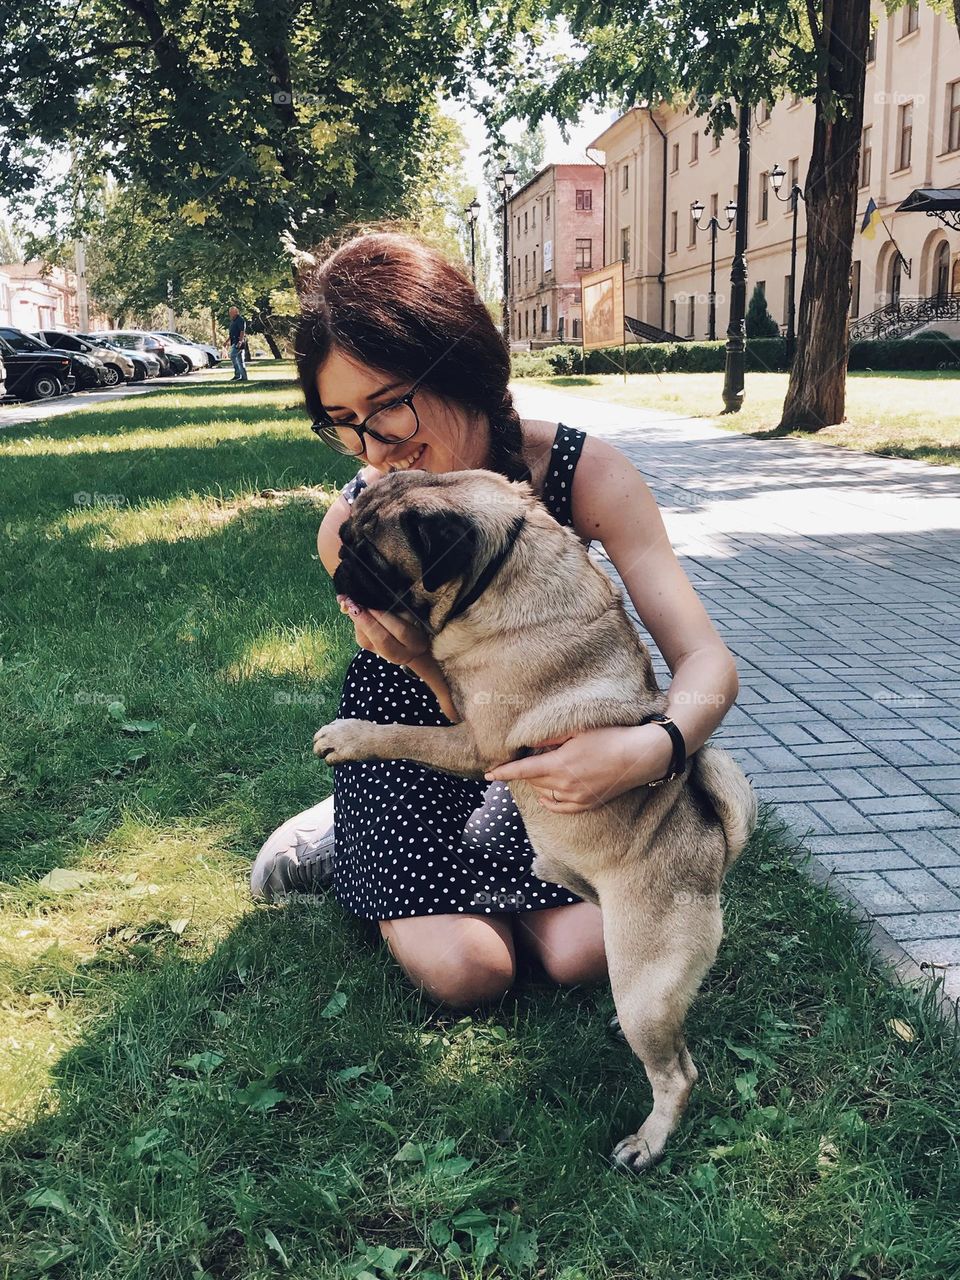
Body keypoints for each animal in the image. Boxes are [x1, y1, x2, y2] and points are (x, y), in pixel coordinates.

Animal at [316, 468, 757, 1172]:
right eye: (349, 539)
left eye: (373, 558)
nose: (339, 561)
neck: (501, 564)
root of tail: (715, 849)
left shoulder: (475, 742)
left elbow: (402, 733)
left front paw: (349, 735)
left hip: (643, 974)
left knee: (678, 1073)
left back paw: (649, 1141)